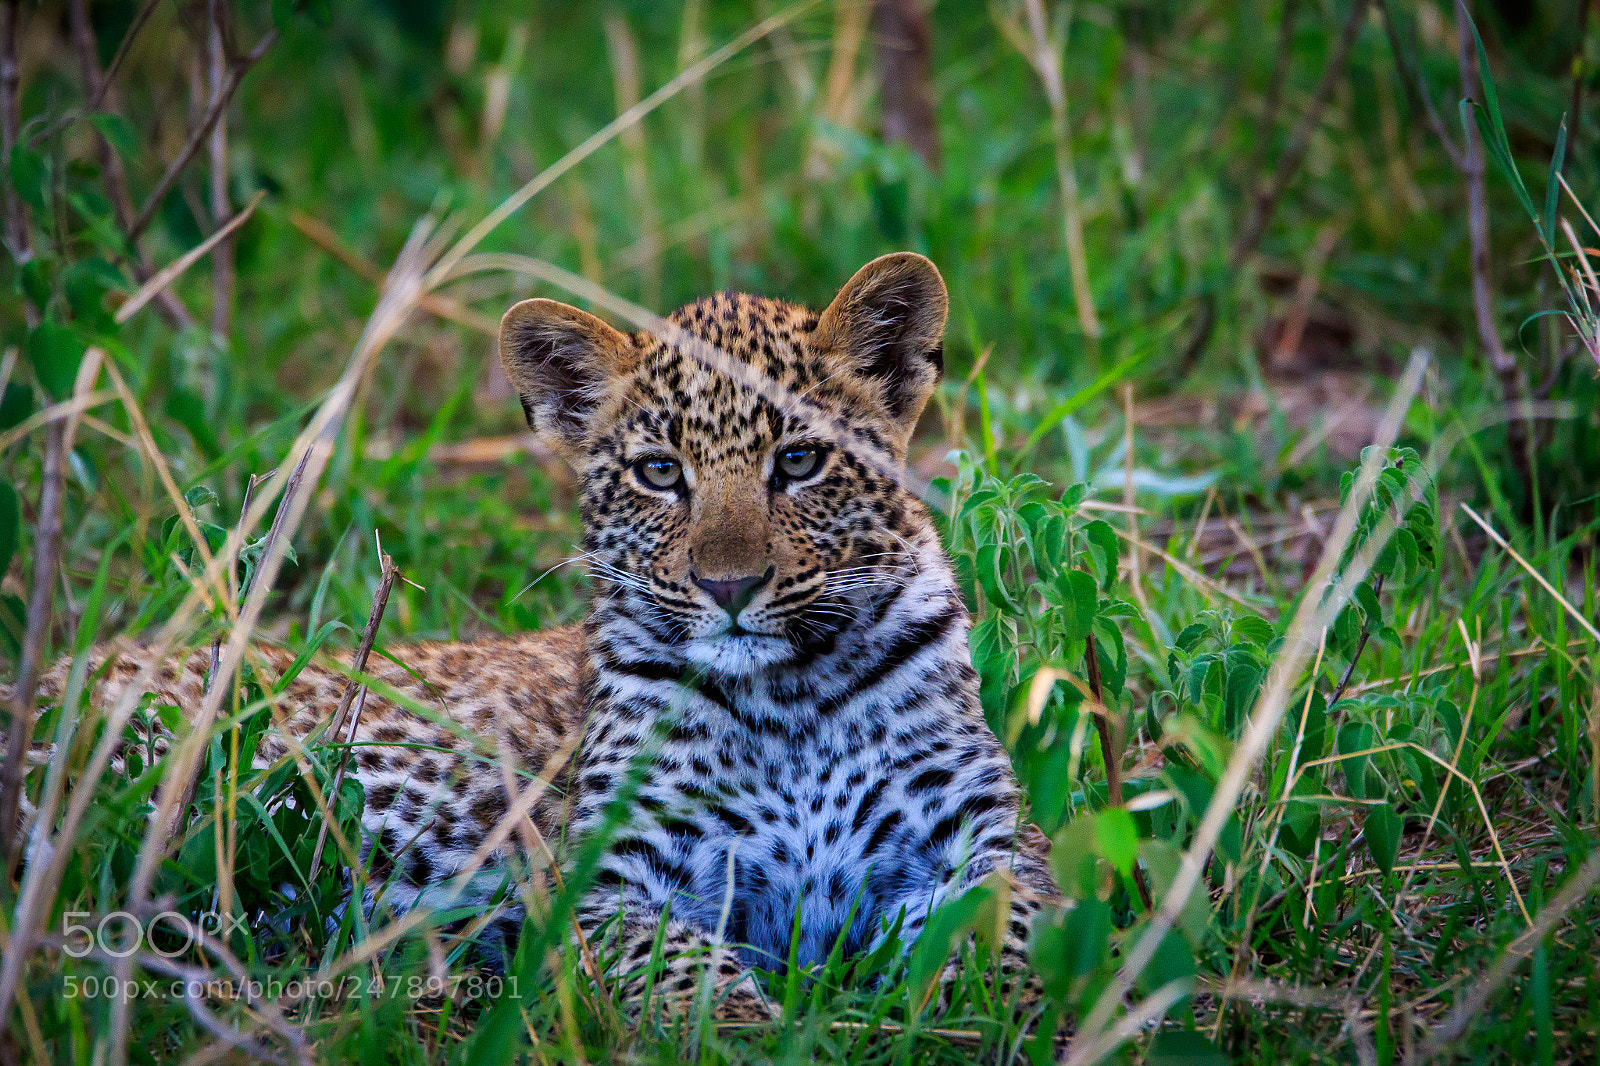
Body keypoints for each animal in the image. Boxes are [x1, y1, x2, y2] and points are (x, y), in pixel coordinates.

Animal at [13, 253, 1059, 1020]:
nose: (727, 587)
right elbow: (689, 978)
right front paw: (749, 1032)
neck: (789, 697)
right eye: (659, 472)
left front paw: (1007, 1014)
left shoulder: (986, 837)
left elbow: (1016, 929)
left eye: (798, 462)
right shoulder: (610, 883)